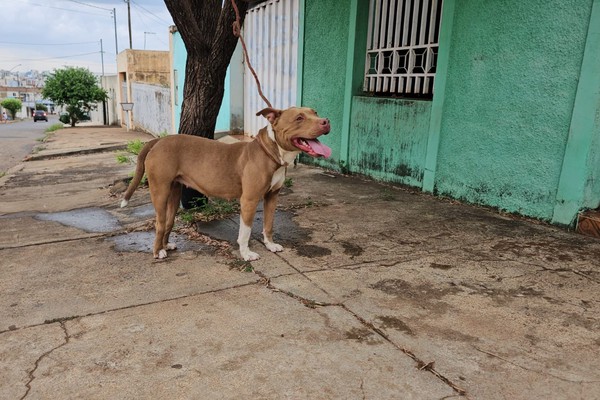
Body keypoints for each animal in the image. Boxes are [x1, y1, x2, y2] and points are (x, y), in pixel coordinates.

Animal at [119, 106, 330, 260]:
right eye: (299, 118)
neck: (271, 152)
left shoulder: (272, 197)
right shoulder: (249, 200)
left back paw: (165, 245)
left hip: (174, 191)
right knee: (160, 222)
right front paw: (246, 254)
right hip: (160, 191)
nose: (326, 121)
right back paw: (157, 252)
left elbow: (268, 224)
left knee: (169, 221)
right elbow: (245, 232)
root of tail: (158, 141)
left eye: (315, 113)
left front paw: (270, 245)